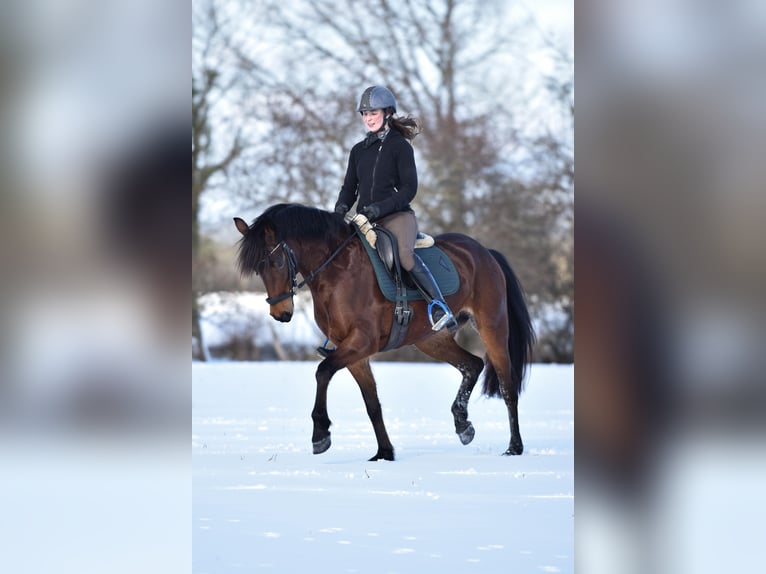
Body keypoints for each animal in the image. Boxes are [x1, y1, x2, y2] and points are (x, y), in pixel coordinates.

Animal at [234, 203, 535, 461]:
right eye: (259, 269)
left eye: (277, 263)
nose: (281, 314)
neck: (337, 272)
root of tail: (484, 251)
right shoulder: (353, 352)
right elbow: (372, 403)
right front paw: (384, 453)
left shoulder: (361, 342)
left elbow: (323, 371)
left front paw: (320, 433)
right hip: (431, 339)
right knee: (472, 365)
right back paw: (463, 424)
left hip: (492, 326)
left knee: (507, 386)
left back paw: (514, 447)